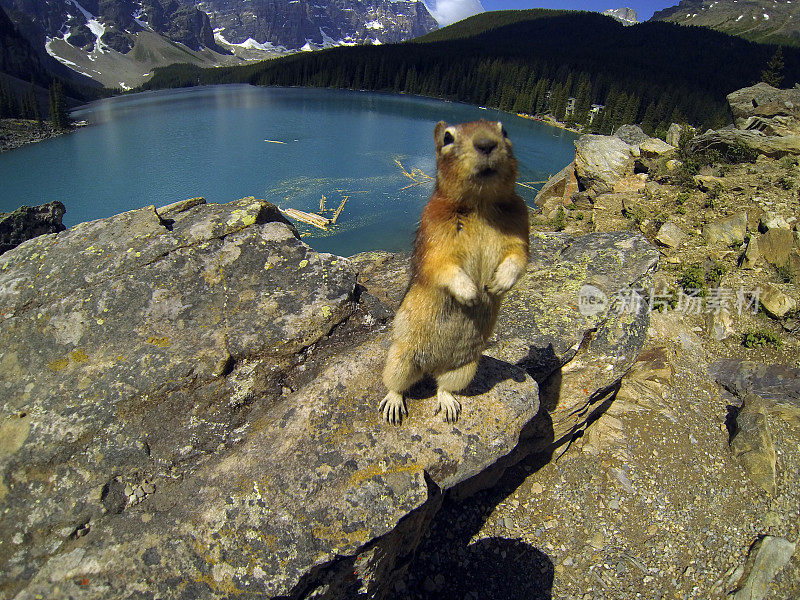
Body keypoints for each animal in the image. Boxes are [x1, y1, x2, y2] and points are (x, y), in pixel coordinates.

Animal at [382, 119, 532, 424]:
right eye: (448, 138)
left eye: (505, 131)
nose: (486, 144)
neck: (480, 205)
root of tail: (432, 366)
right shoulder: (433, 231)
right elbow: (441, 266)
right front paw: (470, 293)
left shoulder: (521, 225)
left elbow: (519, 256)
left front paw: (499, 284)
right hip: (400, 358)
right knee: (395, 383)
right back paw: (393, 403)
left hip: (465, 368)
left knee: (444, 387)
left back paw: (449, 404)